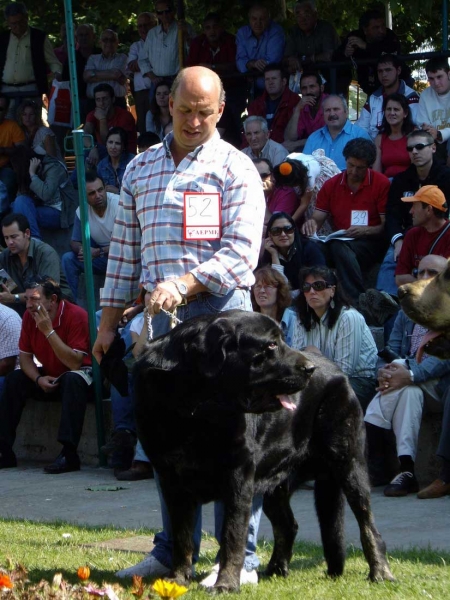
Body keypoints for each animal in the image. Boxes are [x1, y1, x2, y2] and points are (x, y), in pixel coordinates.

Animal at [134, 312, 394, 592]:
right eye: (270, 345)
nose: (309, 369)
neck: (195, 409)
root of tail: (338, 372)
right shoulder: (172, 482)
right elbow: (182, 537)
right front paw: (178, 578)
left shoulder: (238, 478)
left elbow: (232, 536)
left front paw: (226, 583)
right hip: (274, 483)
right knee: (288, 525)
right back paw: (276, 569)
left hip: (349, 464)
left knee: (368, 524)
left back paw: (380, 572)